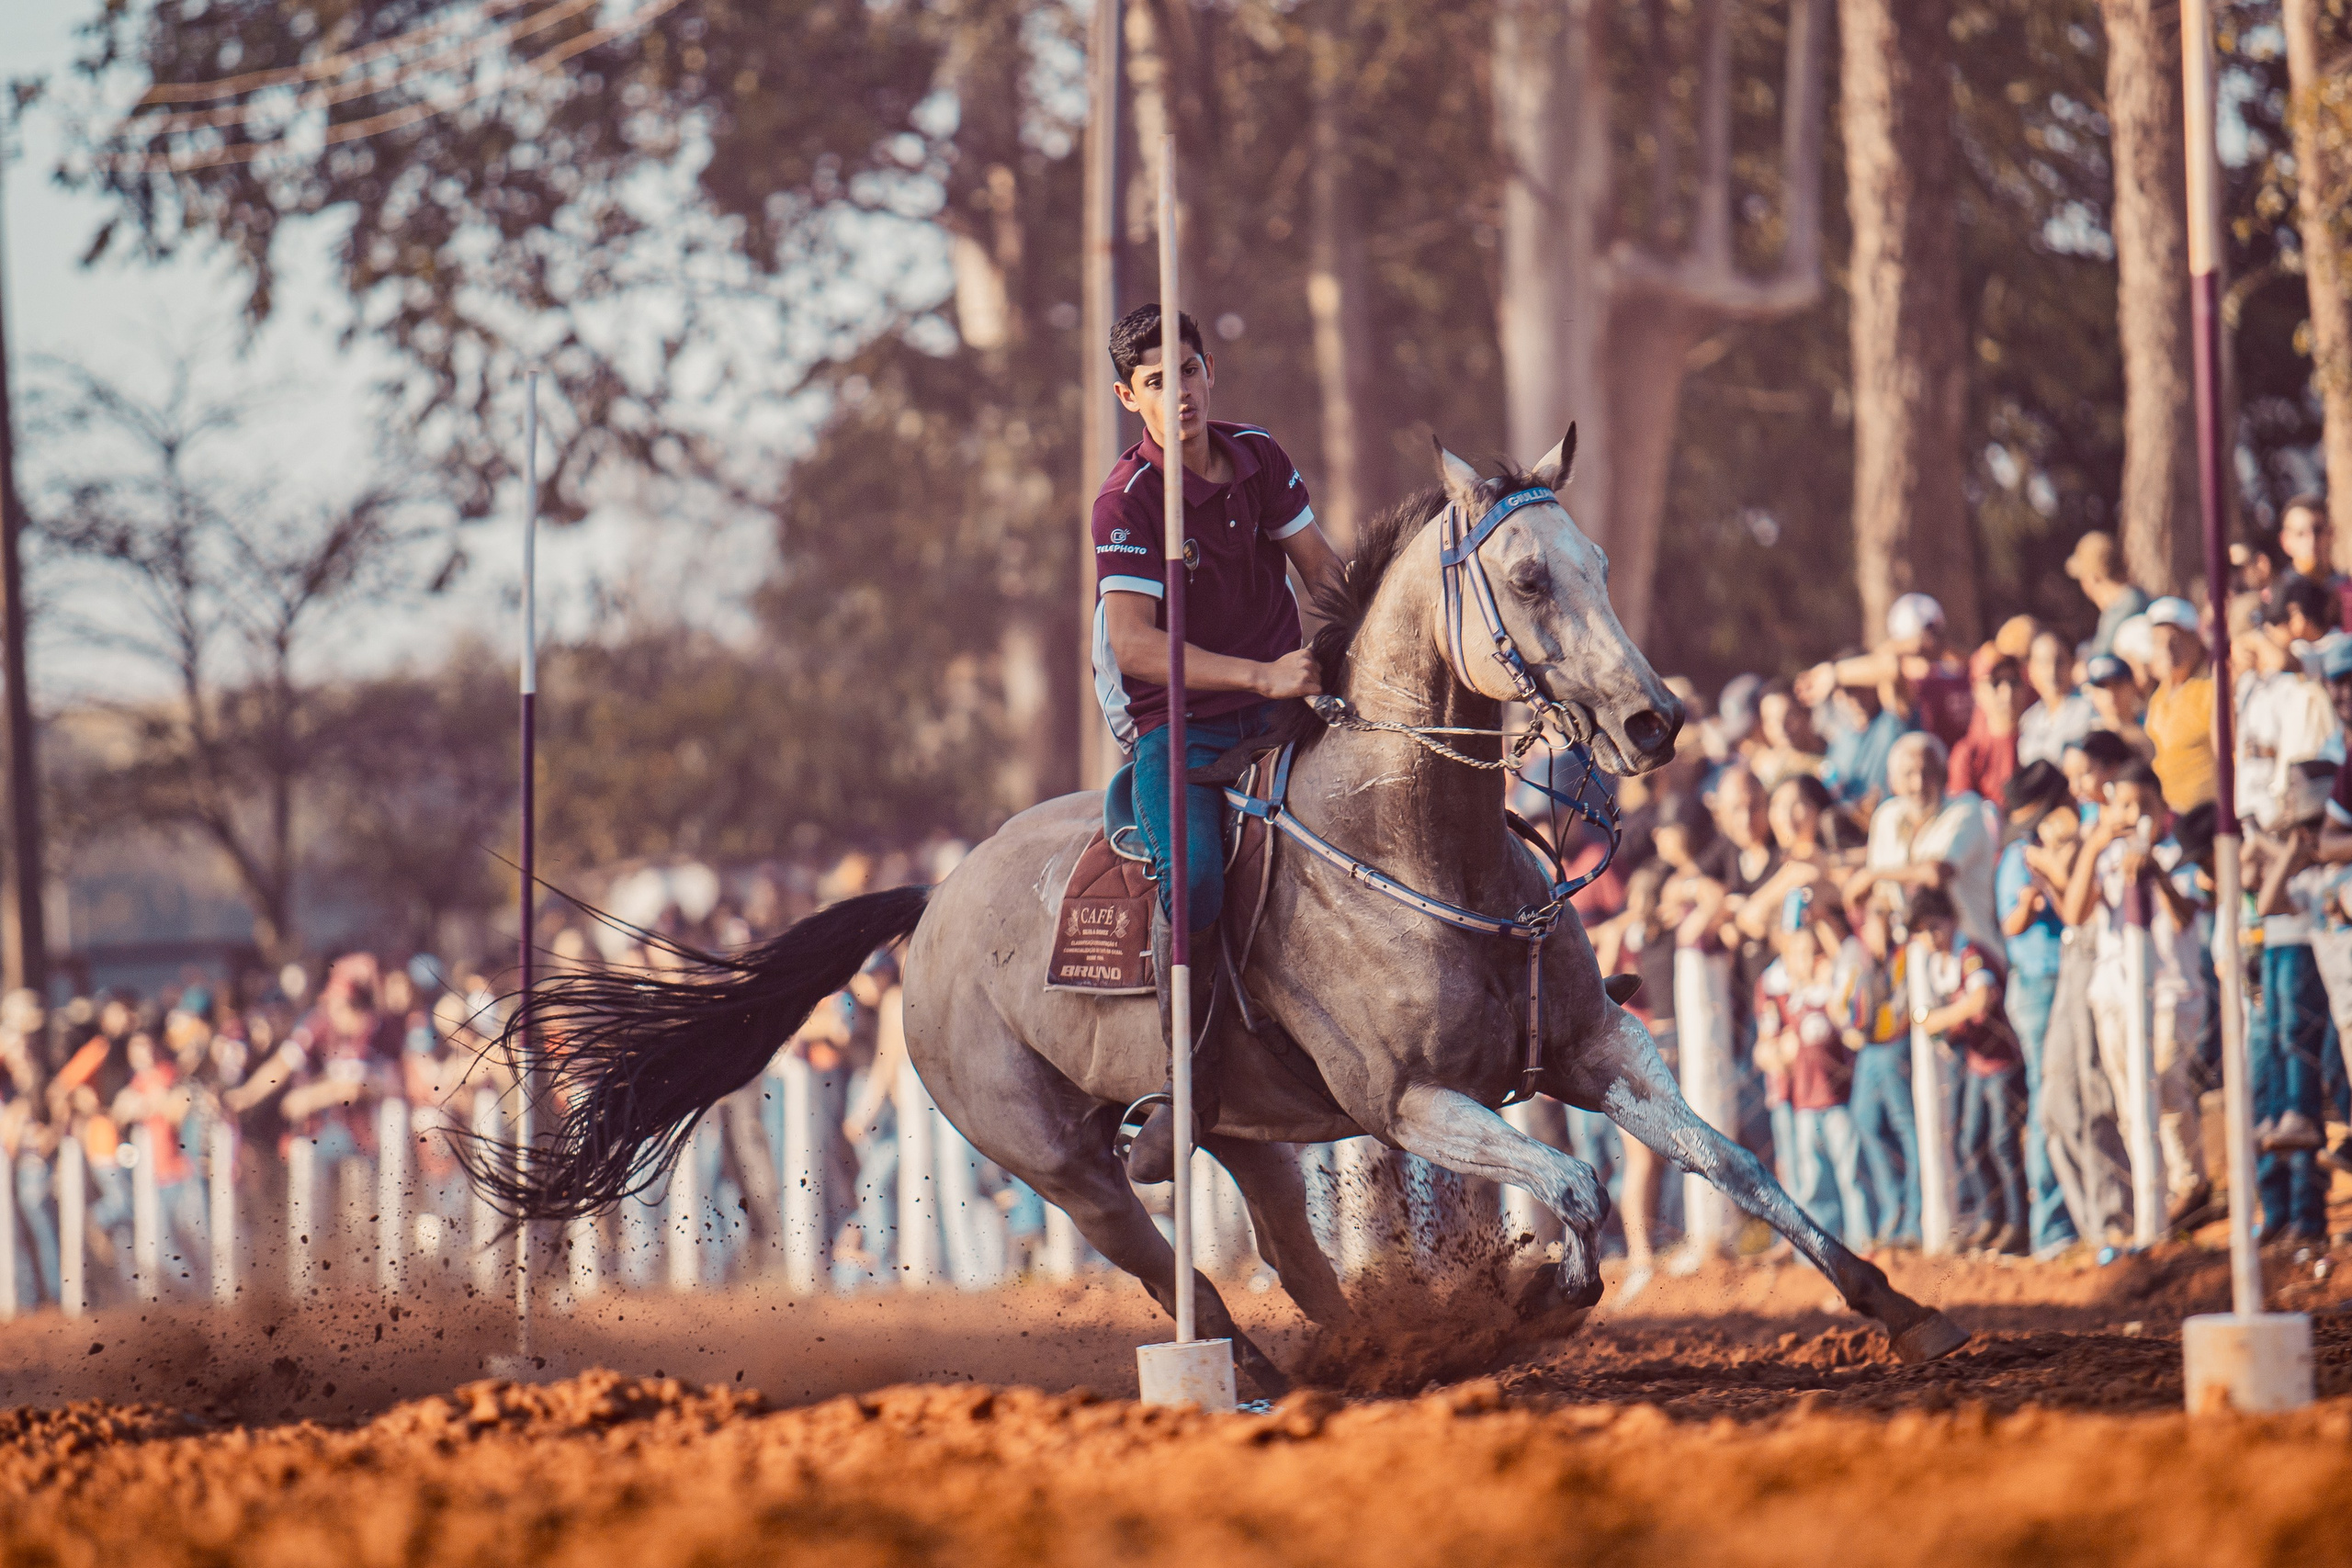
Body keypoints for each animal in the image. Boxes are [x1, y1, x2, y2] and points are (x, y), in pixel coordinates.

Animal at [475, 428, 1966, 1396]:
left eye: (1596, 556)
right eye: (1530, 577)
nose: (1652, 721)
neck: (1428, 851)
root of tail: (930, 909)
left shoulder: (1602, 1056)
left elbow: (1737, 1163)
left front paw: (1900, 1307)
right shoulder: (1409, 1103)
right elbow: (1574, 1183)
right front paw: (1548, 1289)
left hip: (1248, 1141)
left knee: (1296, 1260)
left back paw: (1361, 1361)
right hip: (1055, 1163)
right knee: (1170, 1271)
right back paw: (1261, 1374)